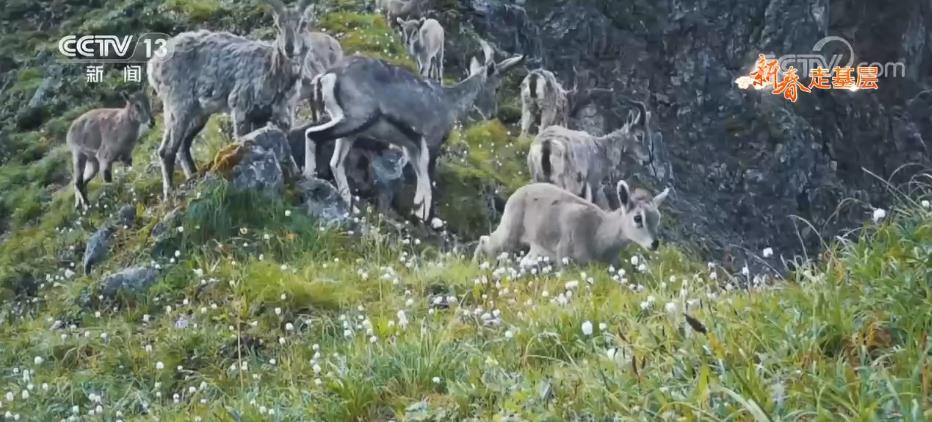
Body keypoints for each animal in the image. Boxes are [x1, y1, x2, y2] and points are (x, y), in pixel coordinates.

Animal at [147, 0, 316, 199]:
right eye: (277, 26)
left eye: (303, 24)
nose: (288, 48)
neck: (273, 74)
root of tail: (153, 64)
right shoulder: (241, 106)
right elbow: (242, 139)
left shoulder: (276, 116)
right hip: (178, 104)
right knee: (166, 150)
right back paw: (170, 193)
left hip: (199, 112)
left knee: (183, 145)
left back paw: (193, 176)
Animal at [476, 180, 668, 266]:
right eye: (638, 218)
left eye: (658, 217)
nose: (654, 243)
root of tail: (514, 195)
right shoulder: (564, 257)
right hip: (508, 235)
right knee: (485, 240)